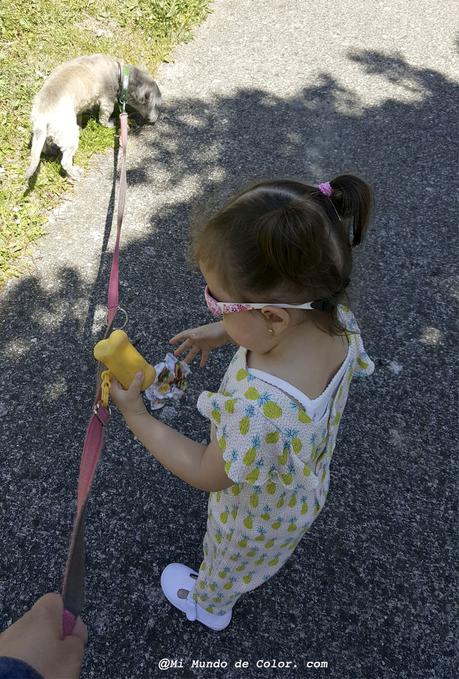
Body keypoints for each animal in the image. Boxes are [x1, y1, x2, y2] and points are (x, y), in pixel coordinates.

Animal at [25, 53, 162, 181]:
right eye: (156, 106)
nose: (155, 120)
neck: (120, 73)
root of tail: (42, 113)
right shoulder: (107, 99)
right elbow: (104, 116)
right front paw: (110, 124)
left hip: (45, 131)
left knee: (43, 146)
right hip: (68, 133)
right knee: (65, 161)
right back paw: (75, 173)